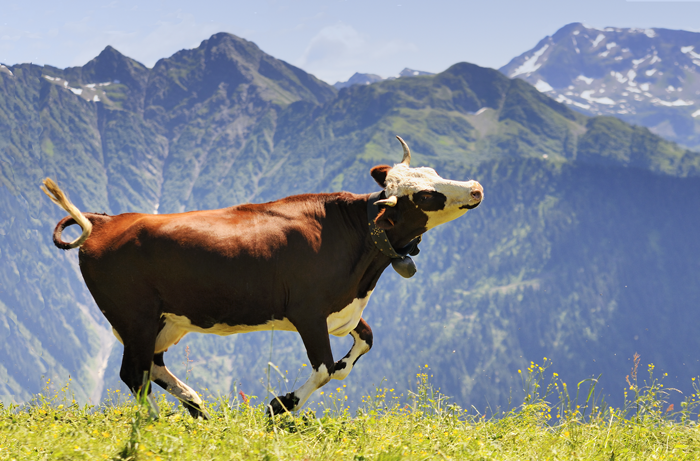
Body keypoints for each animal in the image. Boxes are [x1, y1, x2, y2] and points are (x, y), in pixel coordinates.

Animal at [41, 136, 483, 419]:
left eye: (432, 172)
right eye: (426, 197)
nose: (476, 187)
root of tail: (104, 220)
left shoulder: (343, 312)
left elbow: (359, 349)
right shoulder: (308, 312)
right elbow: (324, 369)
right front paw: (278, 406)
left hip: (165, 321)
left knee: (152, 366)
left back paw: (196, 407)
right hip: (135, 317)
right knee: (134, 373)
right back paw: (153, 421)